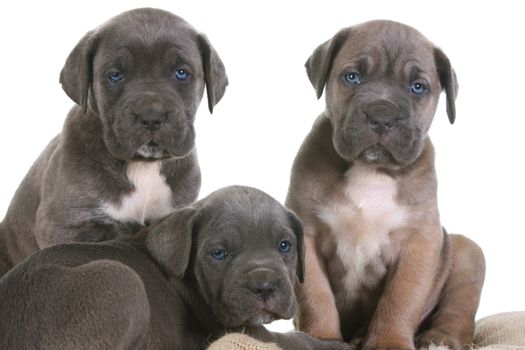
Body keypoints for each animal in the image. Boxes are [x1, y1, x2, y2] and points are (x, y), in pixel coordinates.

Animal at [1, 186, 352, 350]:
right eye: (219, 254)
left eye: (285, 246)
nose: (264, 286)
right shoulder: (244, 330)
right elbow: (297, 341)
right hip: (120, 278)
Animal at [286, 20, 488, 348]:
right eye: (352, 77)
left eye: (417, 87)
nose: (382, 116)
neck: (372, 170)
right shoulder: (307, 235)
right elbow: (316, 295)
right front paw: (321, 337)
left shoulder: (419, 243)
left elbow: (400, 299)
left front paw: (389, 341)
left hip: (468, 252)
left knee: (457, 311)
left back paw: (439, 338)